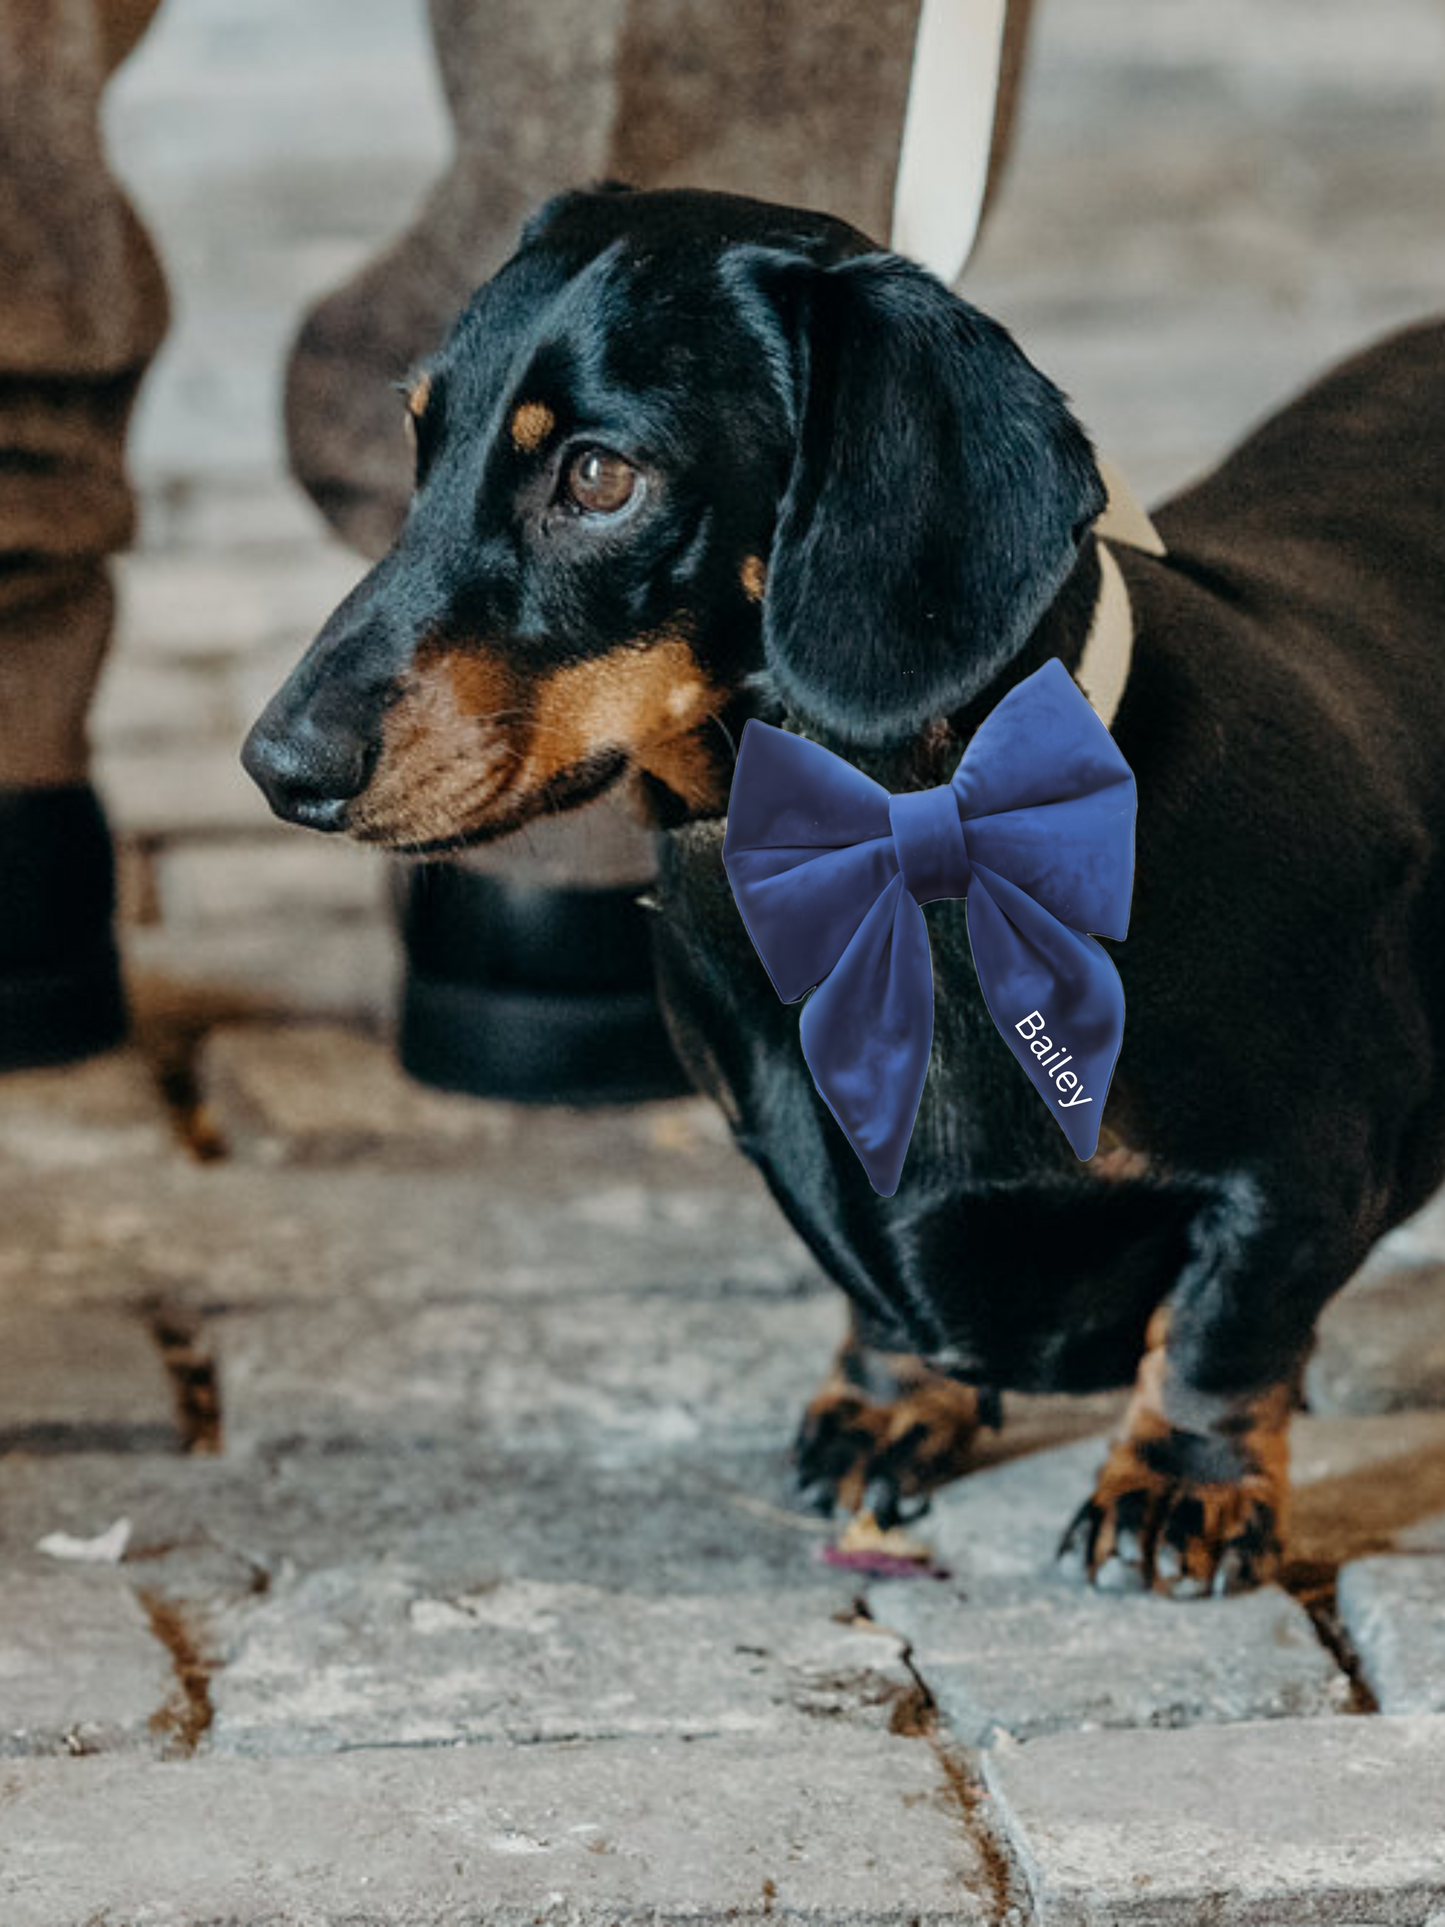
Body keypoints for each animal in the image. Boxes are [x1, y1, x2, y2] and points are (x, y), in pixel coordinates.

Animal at [243, 184, 1445, 1595]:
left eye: (596, 475)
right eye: (419, 438)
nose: (278, 766)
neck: (906, 864)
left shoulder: (1300, 1170)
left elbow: (1220, 1329)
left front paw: (1176, 1486)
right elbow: (877, 1296)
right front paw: (888, 1404)